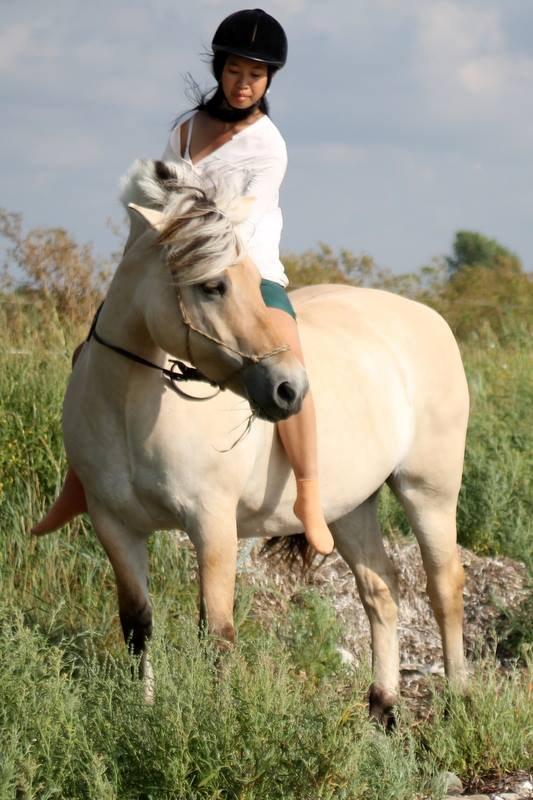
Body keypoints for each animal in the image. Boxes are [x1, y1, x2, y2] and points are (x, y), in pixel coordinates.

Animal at [63, 159, 470, 728]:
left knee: (443, 587)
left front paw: (215, 723)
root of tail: (430, 318)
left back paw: (460, 700)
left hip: (427, 491)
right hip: (350, 508)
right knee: (380, 592)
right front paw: (142, 714)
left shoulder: (212, 522)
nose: (289, 389)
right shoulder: (114, 525)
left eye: (255, 282)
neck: (127, 407)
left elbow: (217, 632)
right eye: (212, 286)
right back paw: (382, 711)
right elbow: (137, 625)